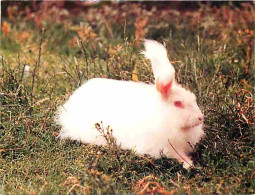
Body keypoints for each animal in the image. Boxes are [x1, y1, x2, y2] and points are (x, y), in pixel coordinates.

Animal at [54, 39, 204, 168]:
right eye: (178, 103)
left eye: (193, 98)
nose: (200, 118)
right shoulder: (167, 148)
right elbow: (178, 155)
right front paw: (189, 164)